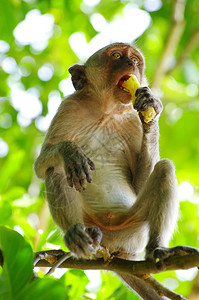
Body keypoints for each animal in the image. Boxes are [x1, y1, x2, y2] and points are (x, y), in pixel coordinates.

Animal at [33, 43, 191, 298]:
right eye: (117, 56)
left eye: (135, 60)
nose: (131, 63)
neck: (104, 111)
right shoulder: (69, 107)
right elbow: (41, 165)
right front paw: (71, 152)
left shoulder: (131, 122)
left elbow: (140, 182)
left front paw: (151, 110)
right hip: (95, 223)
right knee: (56, 171)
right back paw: (77, 235)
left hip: (131, 233)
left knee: (164, 168)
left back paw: (157, 250)